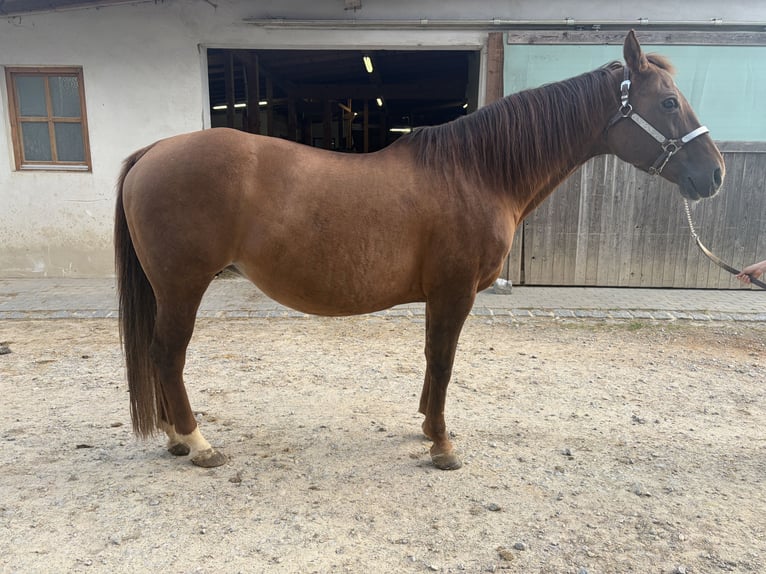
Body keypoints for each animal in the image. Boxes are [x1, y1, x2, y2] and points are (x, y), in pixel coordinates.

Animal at [115, 31, 724, 470]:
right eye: (669, 103)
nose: (714, 175)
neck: (476, 172)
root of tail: (154, 151)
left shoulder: (440, 296)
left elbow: (434, 362)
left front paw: (427, 426)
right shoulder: (455, 293)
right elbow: (444, 361)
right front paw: (443, 446)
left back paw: (174, 439)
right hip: (183, 285)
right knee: (167, 355)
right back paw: (197, 443)